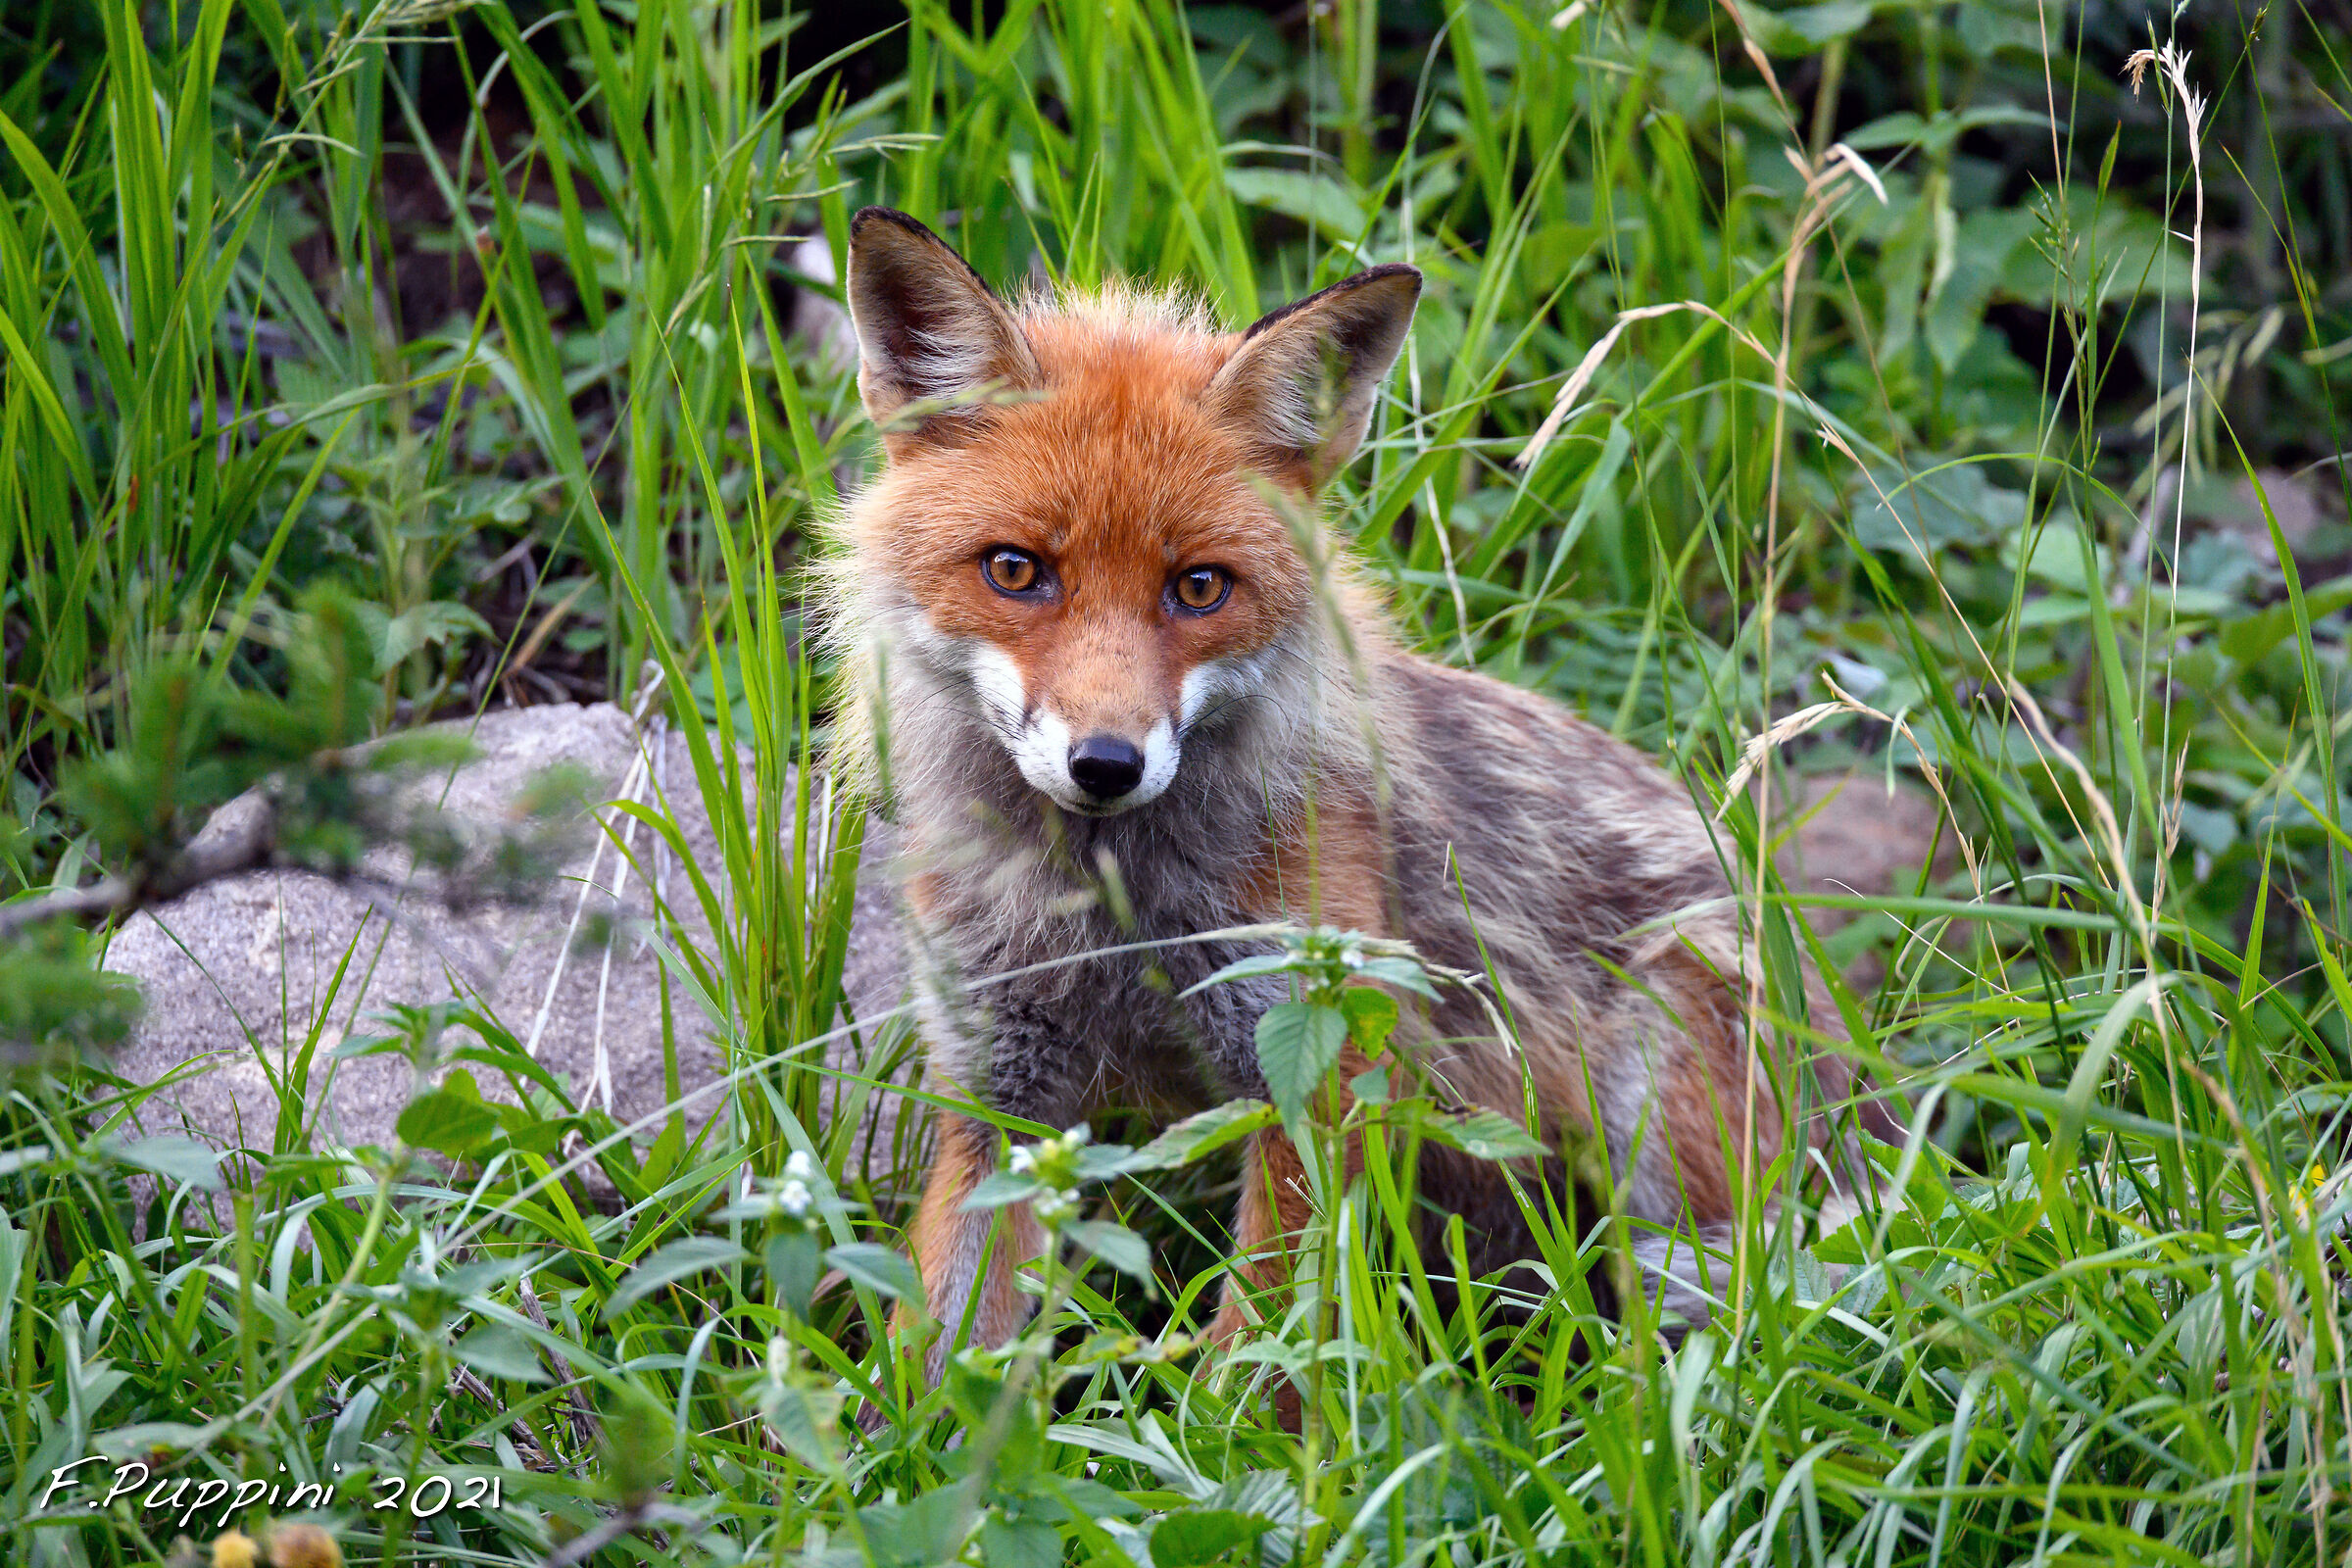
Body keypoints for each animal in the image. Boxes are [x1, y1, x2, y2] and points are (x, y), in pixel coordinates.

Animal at [827, 206, 1896, 1374]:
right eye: (1016, 571)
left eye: (1199, 587)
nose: (1105, 763)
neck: (1117, 915)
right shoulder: (1000, 1091)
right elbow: (934, 1353)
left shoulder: (1317, 1073)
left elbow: (1259, 1365)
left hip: (1660, 1133)